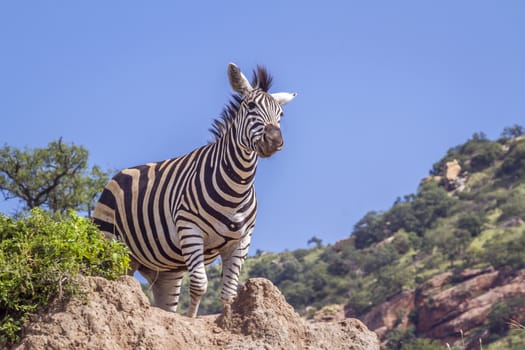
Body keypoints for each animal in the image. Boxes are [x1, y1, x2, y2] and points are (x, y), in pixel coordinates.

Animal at [91, 63, 294, 318]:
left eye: (281, 114)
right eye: (250, 107)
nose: (274, 140)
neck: (237, 186)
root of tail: (117, 176)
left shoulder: (242, 240)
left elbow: (228, 292)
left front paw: (227, 320)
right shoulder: (190, 230)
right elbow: (199, 285)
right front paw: (191, 319)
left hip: (164, 269)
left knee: (165, 304)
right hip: (111, 247)